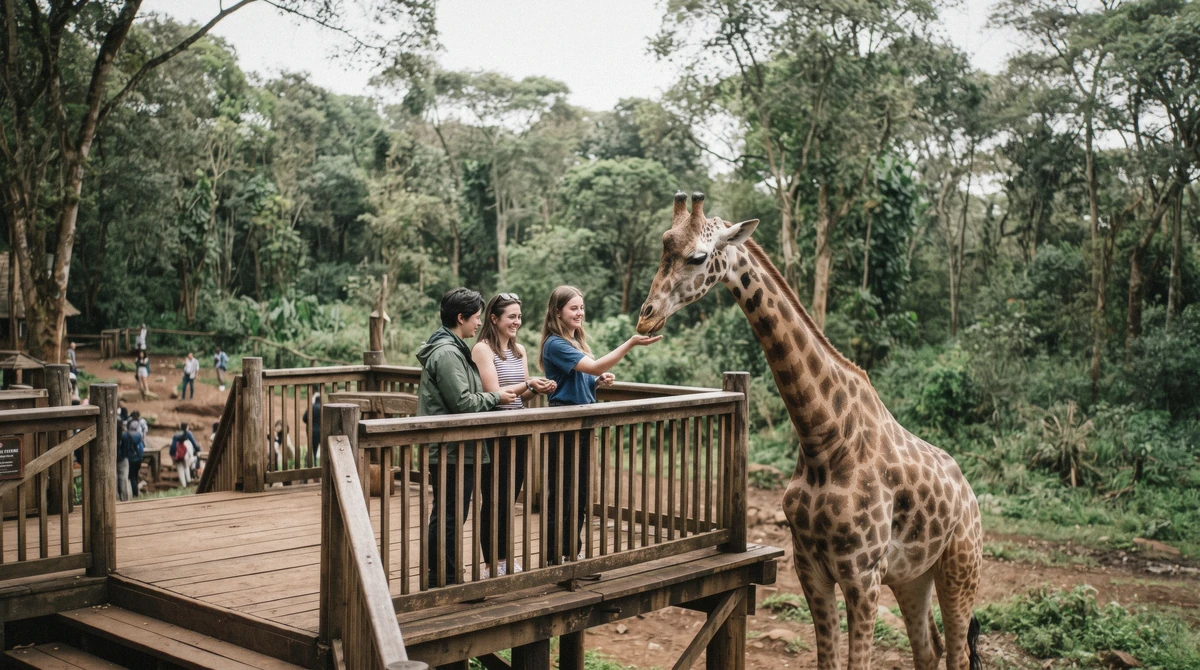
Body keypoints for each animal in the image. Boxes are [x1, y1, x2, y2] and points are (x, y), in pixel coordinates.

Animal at [636, 192, 983, 670]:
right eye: (662, 248)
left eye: (698, 256)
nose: (646, 318)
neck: (824, 439)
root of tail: (970, 494)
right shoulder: (810, 568)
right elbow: (828, 661)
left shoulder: (862, 574)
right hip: (913, 576)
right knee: (927, 650)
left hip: (960, 567)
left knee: (957, 653)